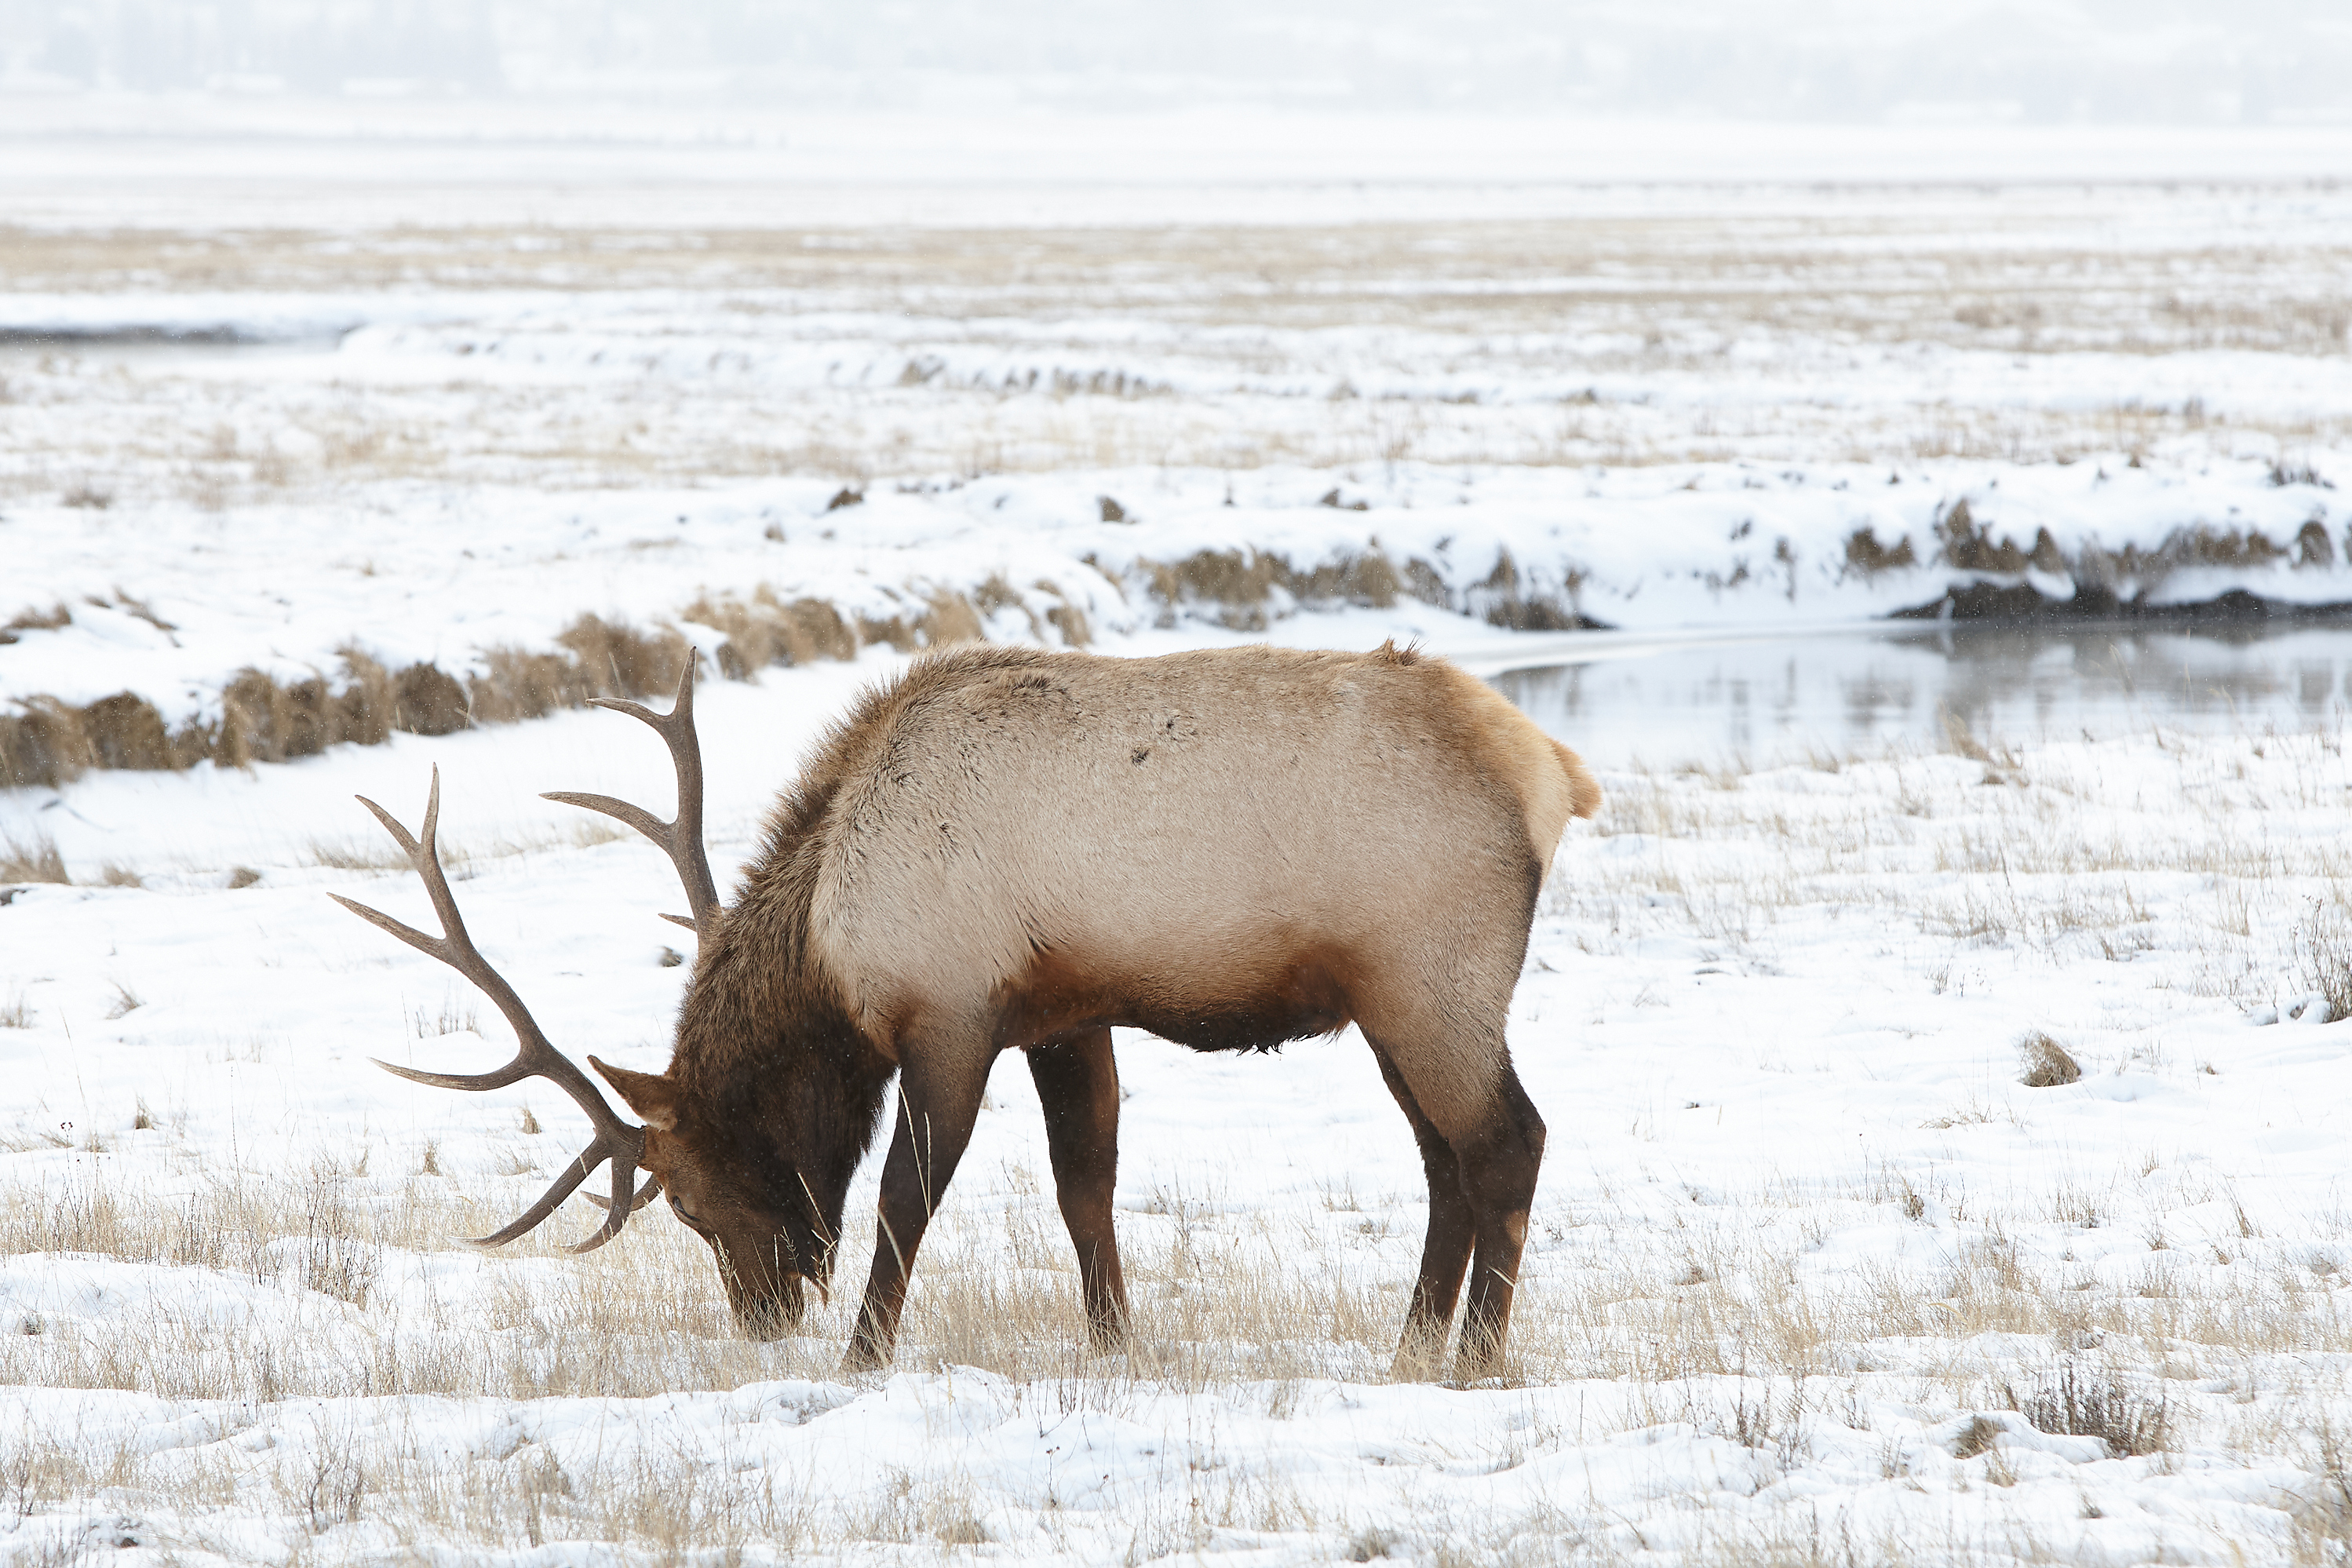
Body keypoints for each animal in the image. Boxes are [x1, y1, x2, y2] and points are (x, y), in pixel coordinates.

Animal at [333, 641, 1599, 1379]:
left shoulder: (949, 1012)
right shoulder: (1063, 1011)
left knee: (1510, 1141)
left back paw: (1475, 1357)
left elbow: (906, 1194)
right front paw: (1112, 1340)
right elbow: (1085, 1184)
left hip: (1433, 977)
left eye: (688, 1201)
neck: (835, 940)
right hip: (1387, 1002)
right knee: (1445, 1161)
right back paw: (1411, 1344)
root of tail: (1551, 769)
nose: (762, 1315)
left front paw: (864, 1355)